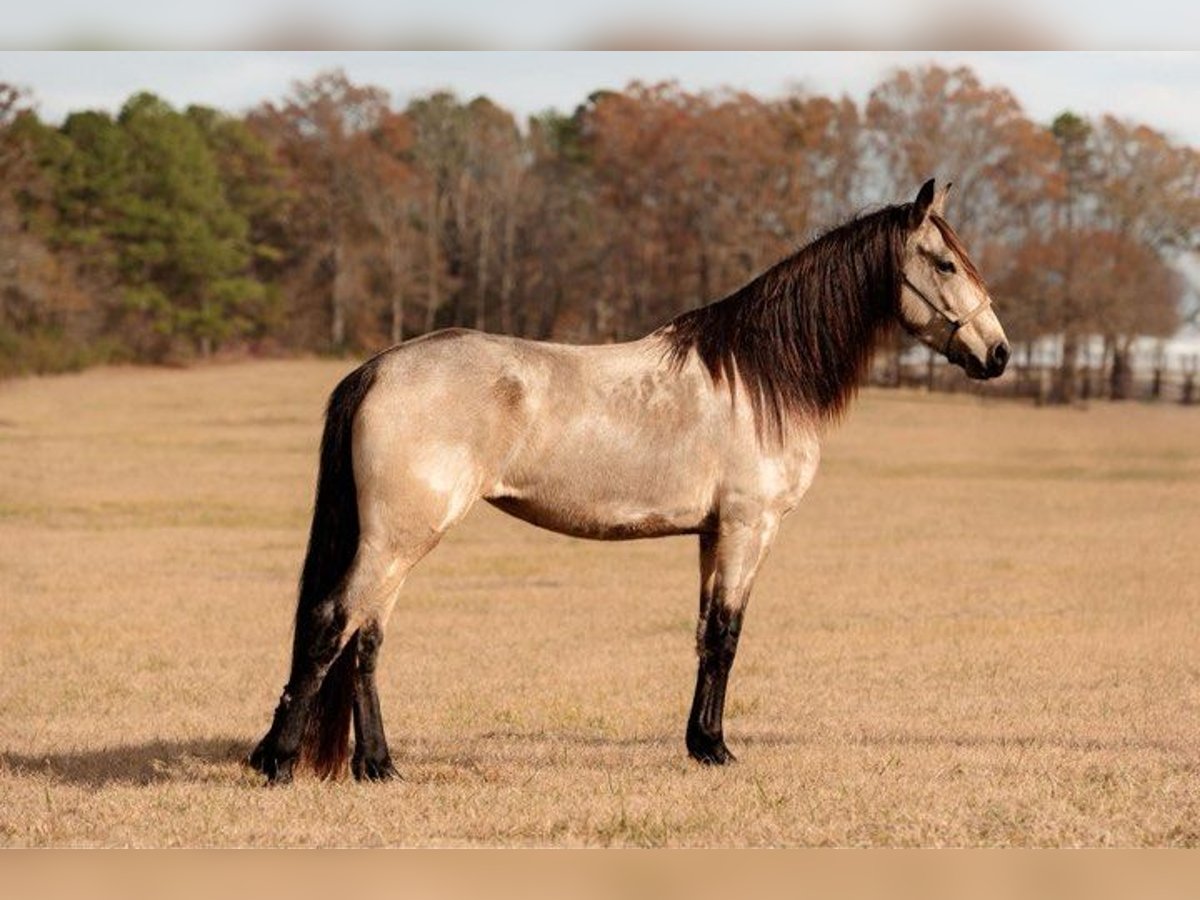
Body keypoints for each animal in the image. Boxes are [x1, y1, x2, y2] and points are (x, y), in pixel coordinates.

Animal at [248, 177, 1008, 782]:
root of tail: (379, 367)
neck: (757, 376)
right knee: (331, 624)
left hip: (399, 541)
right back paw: (278, 760)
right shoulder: (748, 527)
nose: (998, 353)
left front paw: (701, 743)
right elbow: (728, 636)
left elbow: (705, 634)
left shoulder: (711, 534)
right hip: (398, 538)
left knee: (365, 640)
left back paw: (377, 765)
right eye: (944, 262)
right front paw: (717, 750)